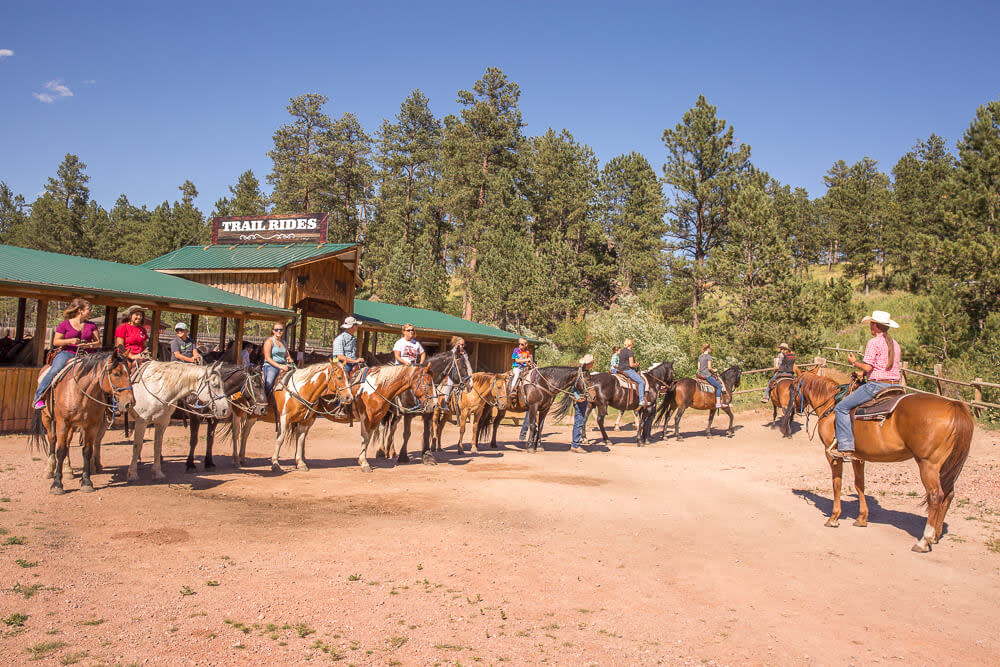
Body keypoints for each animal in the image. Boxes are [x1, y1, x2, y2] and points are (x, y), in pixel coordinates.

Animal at [30, 350, 135, 496]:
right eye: (116, 373)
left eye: (129, 372)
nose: (130, 402)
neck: (80, 392)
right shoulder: (63, 423)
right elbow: (60, 450)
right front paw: (57, 484)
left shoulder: (91, 425)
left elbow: (86, 451)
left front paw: (86, 482)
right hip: (47, 419)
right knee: (52, 441)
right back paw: (49, 469)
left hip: (72, 426)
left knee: (67, 443)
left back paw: (68, 469)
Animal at [776, 370, 972, 552]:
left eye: (793, 387)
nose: (792, 409)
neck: (831, 405)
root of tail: (953, 405)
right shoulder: (858, 457)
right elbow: (859, 485)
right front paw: (862, 518)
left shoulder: (832, 455)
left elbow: (837, 483)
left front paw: (834, 518)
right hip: (946, 466)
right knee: (948, 495)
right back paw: (936, 535)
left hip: (928, 464)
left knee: (935, 495)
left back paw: (924, 540)